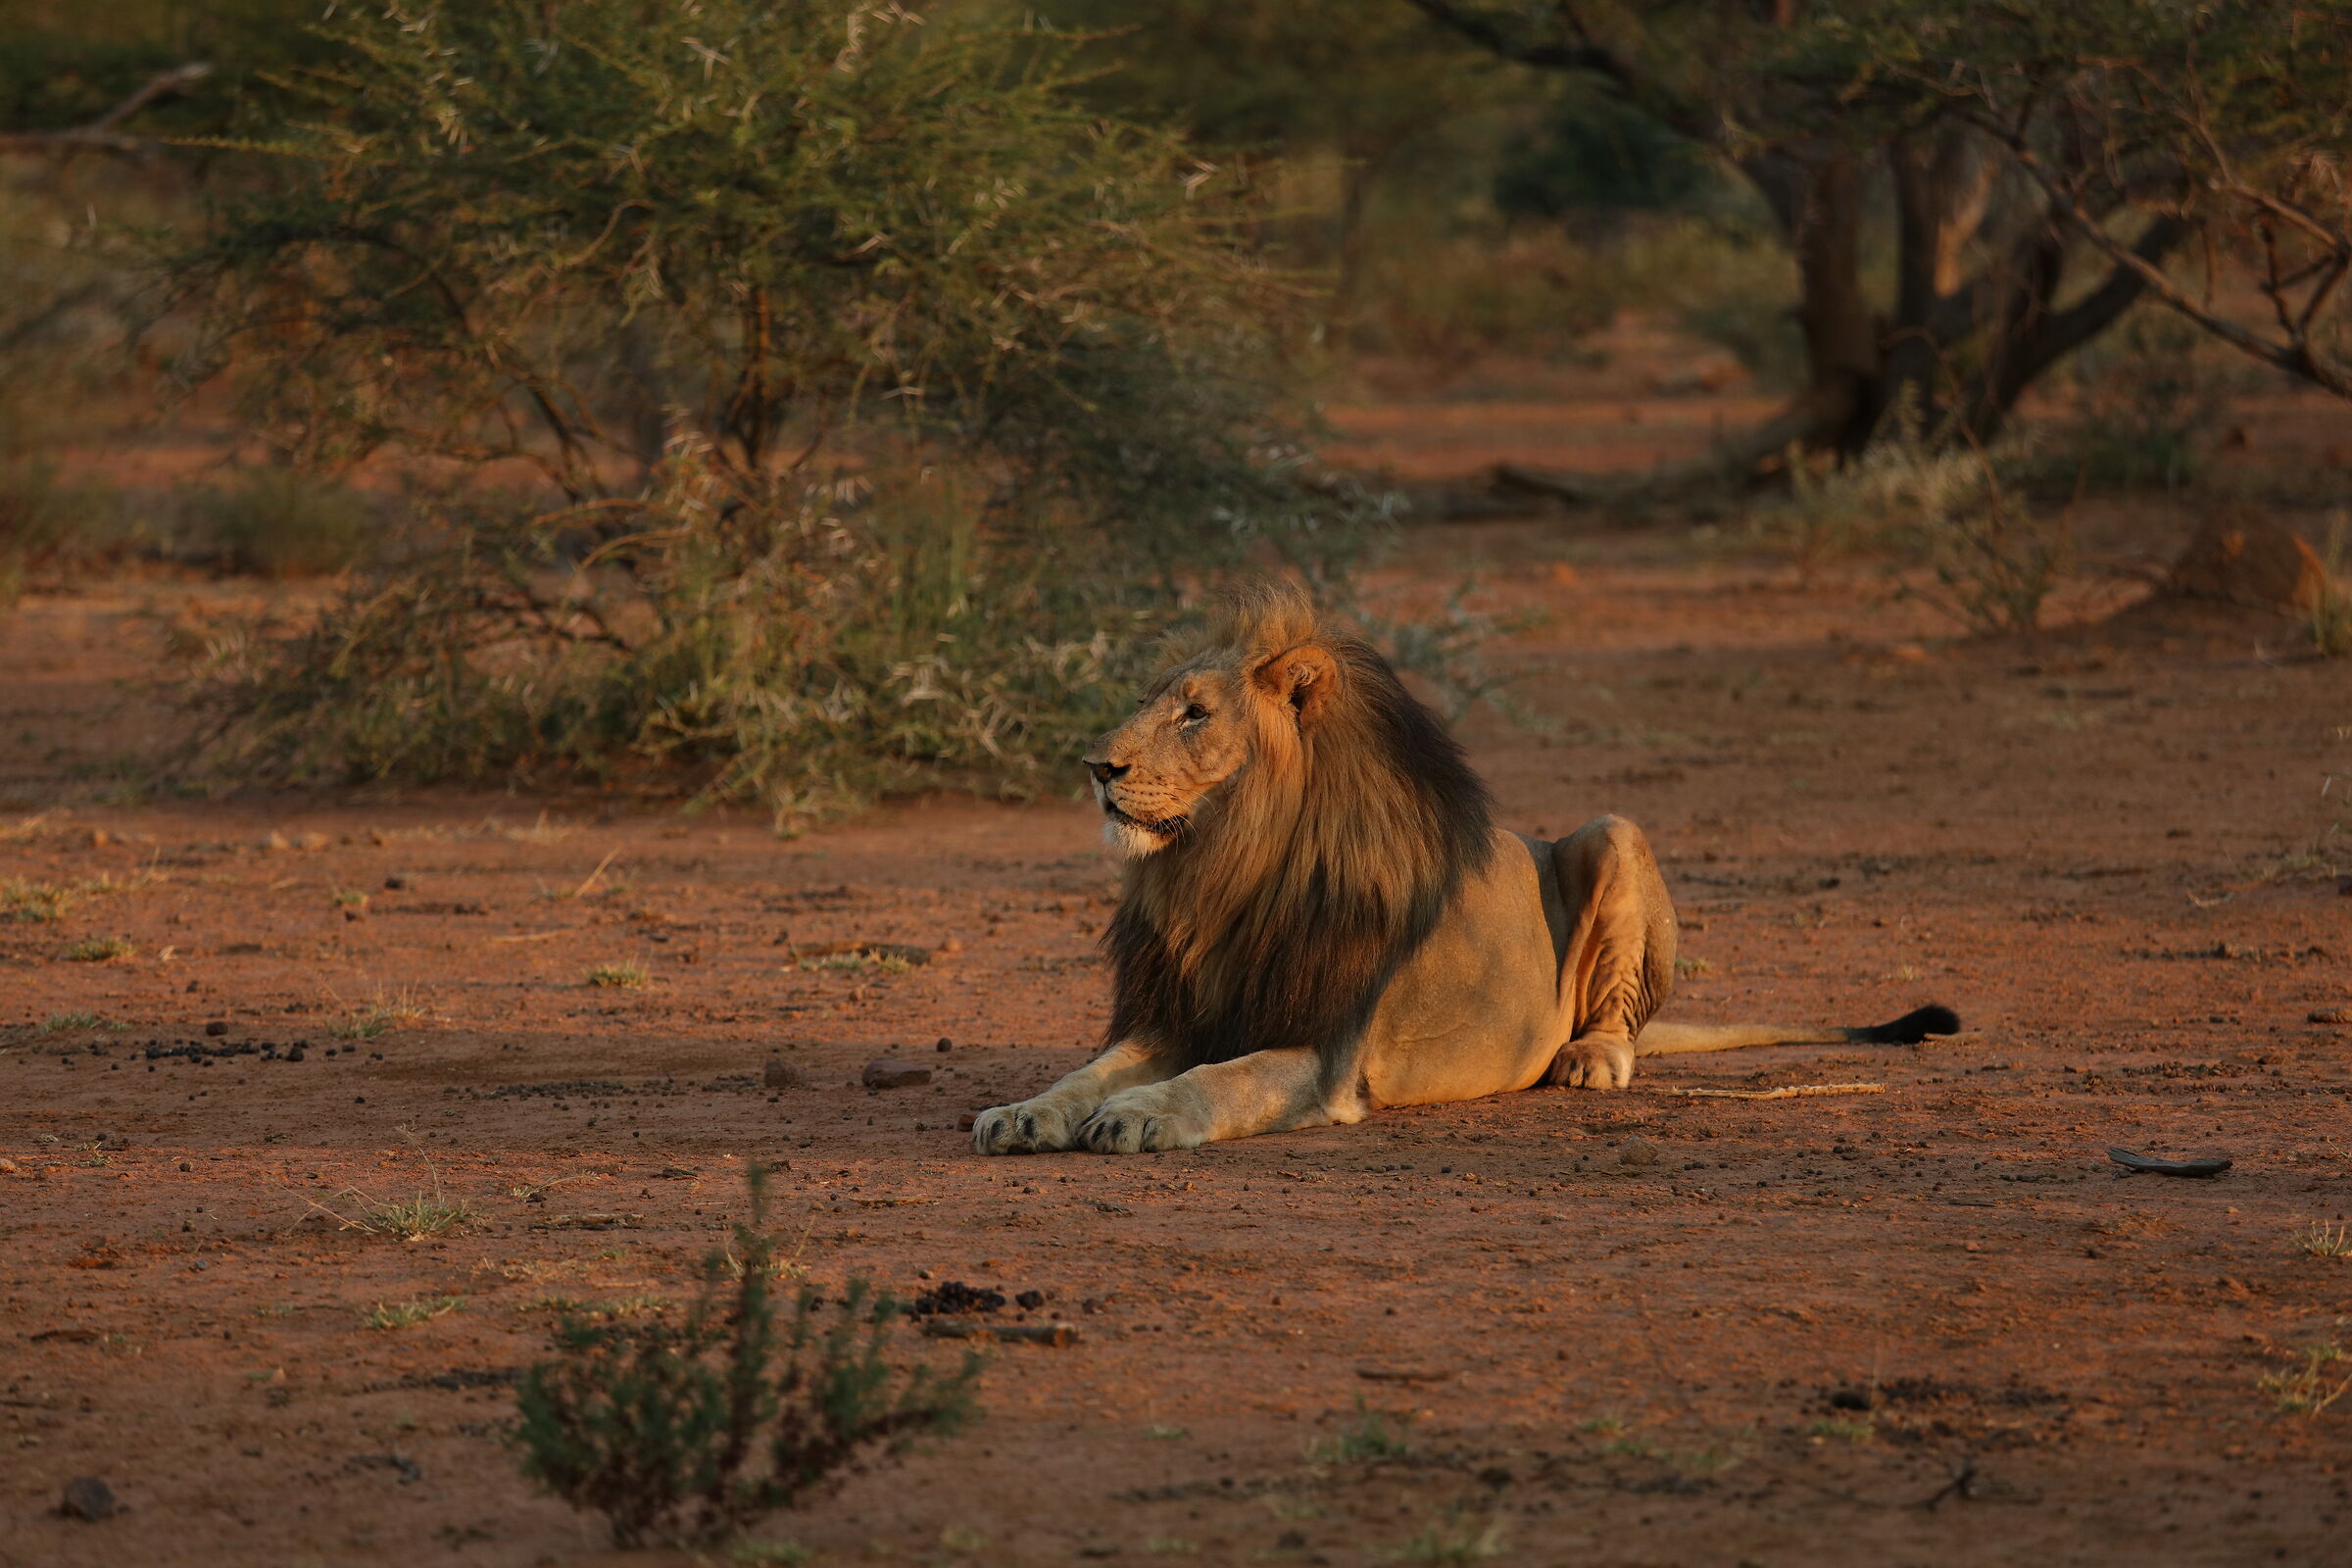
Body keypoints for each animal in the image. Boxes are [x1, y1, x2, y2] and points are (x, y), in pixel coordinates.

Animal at [971, 585, 1957, 1155]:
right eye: (1151, 703)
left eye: (1195, 715)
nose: (1097, 767)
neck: (1224, 873)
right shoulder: (1181, 1012)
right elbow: (1089, 1072)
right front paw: (1025, 1113)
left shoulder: (1324, 1054)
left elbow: (1218, 1080)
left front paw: (1141, 1115)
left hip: (1610, 831)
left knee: (1619, 1016)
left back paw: (1590, 1057)